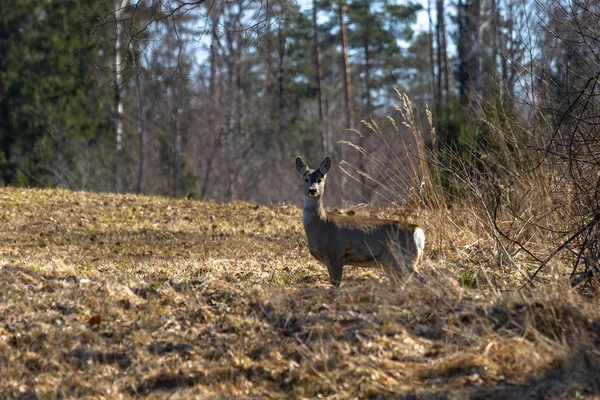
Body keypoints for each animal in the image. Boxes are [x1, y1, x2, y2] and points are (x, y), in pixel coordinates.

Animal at [298, 156, 424, 288]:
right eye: (306, 179)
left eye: (320, 180)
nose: (312, 190)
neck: (321, 224)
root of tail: (417, 230)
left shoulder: (336, 254)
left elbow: (336, 284)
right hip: (392, 263)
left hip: (404, 257)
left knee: (423, 279)